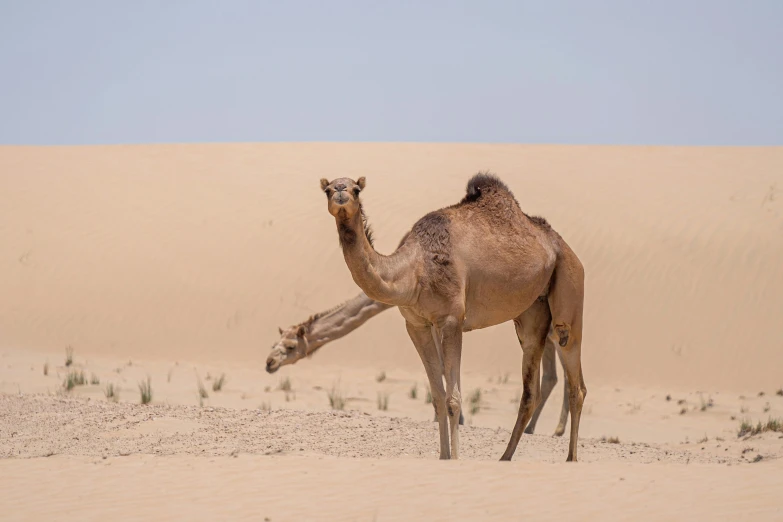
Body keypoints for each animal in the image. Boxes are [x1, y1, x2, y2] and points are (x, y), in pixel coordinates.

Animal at [264, 290, 568, 436]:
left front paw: (453, 419)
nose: (269, 363)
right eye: (274, 342)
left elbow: (444, 366)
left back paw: (546, 430)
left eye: (290, 347)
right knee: (555, 374)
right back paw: (546, 429)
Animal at [318, 172, 588, 460]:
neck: (413, 269)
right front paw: (443, 456)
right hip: (531, 313)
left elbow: (453, 399)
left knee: (575, 378)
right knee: (531, 388)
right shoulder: (417, 324)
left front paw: (455, 458)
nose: (341, 191)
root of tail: (565, 247)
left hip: (569, 285)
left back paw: (571, 458)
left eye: (356, 189)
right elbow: (437, 396)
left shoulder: (451, 319)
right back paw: (505, 457)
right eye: (327, 190)